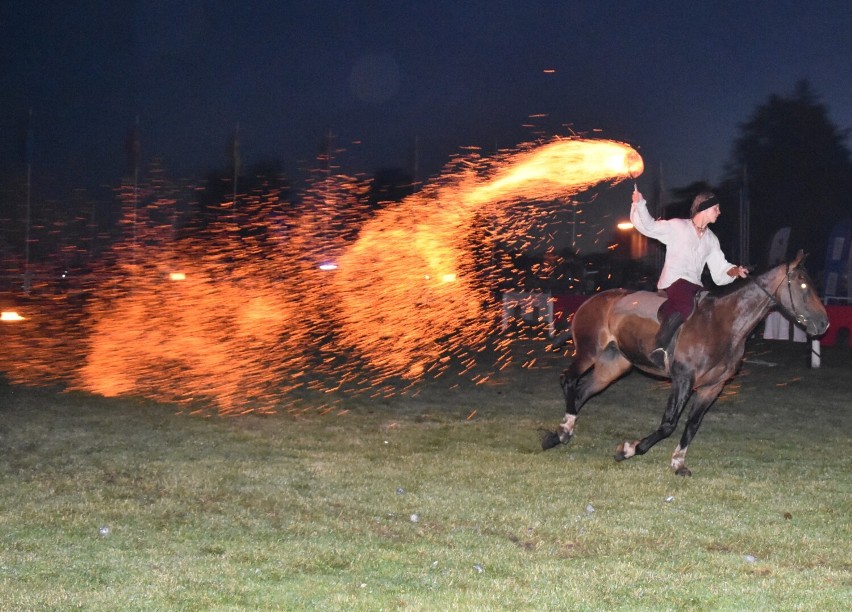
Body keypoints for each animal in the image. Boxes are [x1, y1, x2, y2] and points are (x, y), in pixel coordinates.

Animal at [544, 251, 828, 476]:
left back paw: (559, 433)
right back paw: (563, 430)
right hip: (589, 352)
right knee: (568, 379)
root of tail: (591, 301)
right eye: (803, 286)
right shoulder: (682, 380)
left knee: (582, 392)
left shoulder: (712, 387)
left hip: (613, 366)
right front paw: (629, 449)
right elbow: (669, 424)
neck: (722, 323)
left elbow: (692, 424)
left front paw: (678, 462)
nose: (823, 323)